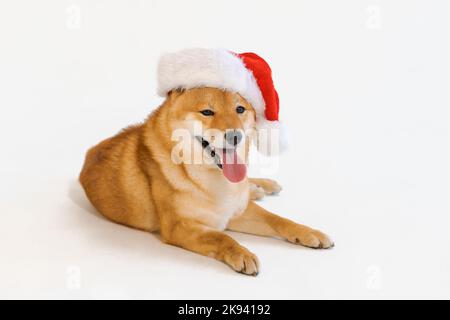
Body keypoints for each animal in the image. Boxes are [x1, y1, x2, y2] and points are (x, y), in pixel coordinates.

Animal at [79, 49, 332, 276]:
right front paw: (242, 253)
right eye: (207, 112)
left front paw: (309, 232)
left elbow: (279, 219)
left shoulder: (238, 211)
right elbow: (222, 237)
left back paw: (262, 186)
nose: (235, 136)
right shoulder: (181, 226)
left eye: (240, 109)